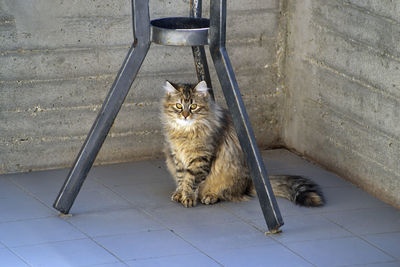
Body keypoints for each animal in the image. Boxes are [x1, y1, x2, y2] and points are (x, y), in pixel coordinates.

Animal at [161, 80, 324, 208]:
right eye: (179, 106)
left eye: (193, 106)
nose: (185, 116)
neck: (185, 132)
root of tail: (250, 182)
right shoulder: (177, 157)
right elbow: (182, 178)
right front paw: (180, 193)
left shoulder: (200, 158)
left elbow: (191, 180)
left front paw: (188, 197)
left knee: (226, 194)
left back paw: (210, 196)